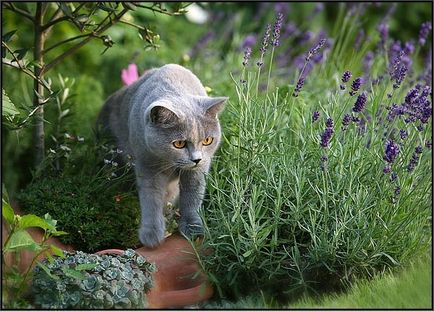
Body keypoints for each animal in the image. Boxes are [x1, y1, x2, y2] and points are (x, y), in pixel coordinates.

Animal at [96, 64, 227, 249]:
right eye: (179, 144)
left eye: (207, 140)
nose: (196, 159)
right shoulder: (147, 164)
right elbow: (151, 197)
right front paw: (151, 235)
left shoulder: (199, 169)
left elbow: (193, 195)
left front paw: (193, 229)